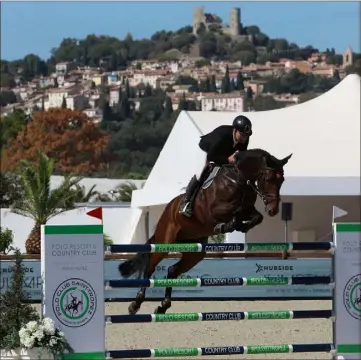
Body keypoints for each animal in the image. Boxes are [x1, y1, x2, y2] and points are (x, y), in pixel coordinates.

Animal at [119, 148, 292, 314]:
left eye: (282, 180)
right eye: (269, 179)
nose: (273, 210)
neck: (239, 180)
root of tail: (168, 209)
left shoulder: (248, 209)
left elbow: (256, 217)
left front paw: (242, 226)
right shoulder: (214, 211)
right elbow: (235, 213)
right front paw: (225, 226)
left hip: (194, 253)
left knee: (173, 270)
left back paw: (163, 306)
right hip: (165, 243)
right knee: (150, 268)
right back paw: (135, 304)